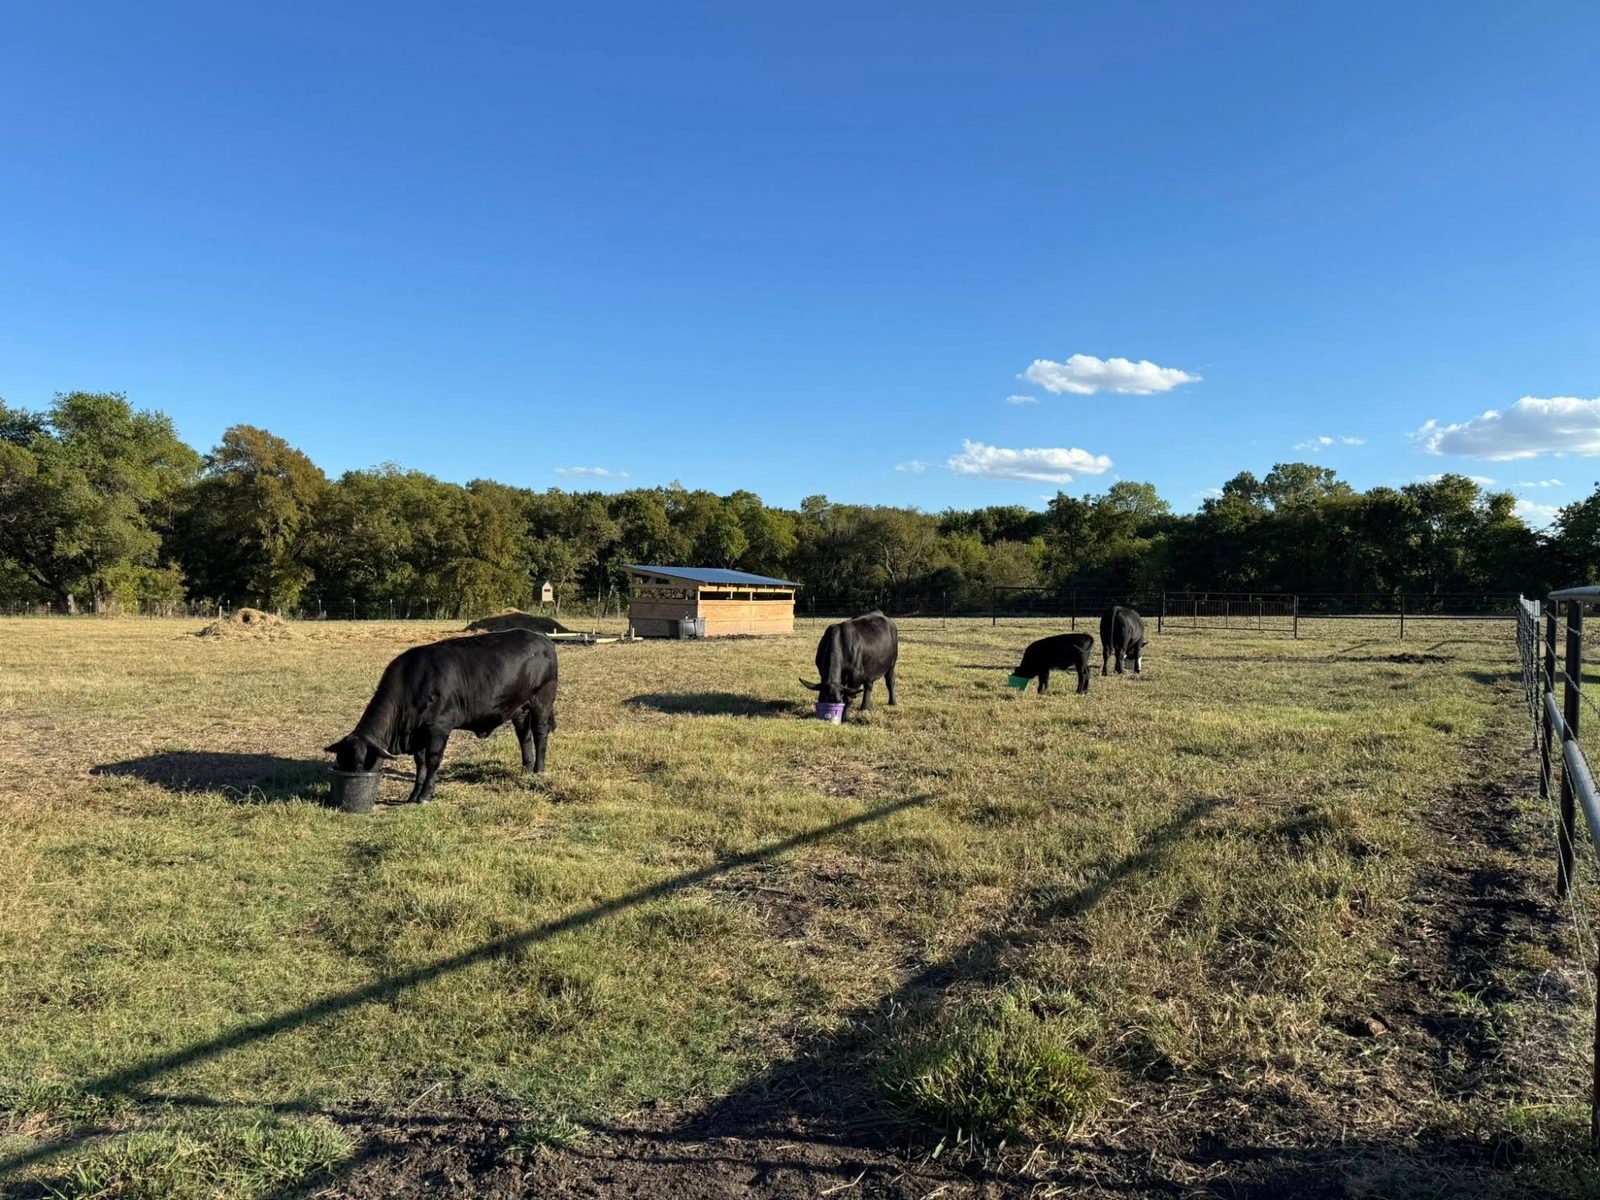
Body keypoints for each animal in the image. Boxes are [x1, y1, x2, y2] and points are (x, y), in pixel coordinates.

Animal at [325, 629, 558, 805]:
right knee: (524, 736)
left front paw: (425, 796)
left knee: (540, 734)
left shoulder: (439, 728)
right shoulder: (417, 735)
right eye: (340, 761)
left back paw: (538, 770)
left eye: (359, 764)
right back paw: (527, 768)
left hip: (542, 701)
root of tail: (541, 636)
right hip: (520, 709)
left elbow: (433, 761)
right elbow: (420, 764)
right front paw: (413, 795)